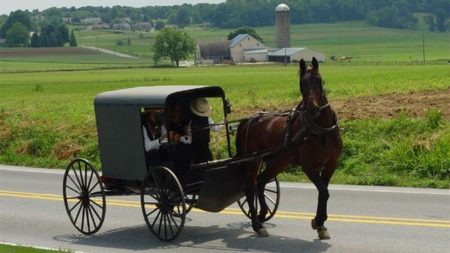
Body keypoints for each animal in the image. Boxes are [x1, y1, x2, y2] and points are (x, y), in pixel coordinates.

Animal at [236, 57, 342, 239]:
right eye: (302, 83)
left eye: (319, 80)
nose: (312, 108)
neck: (321, 129)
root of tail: (249, 120)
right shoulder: (308, 166)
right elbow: (323, 191)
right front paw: (318, 221)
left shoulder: (330, 164)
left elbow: (324, 192)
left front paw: (321, 225)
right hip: (253, 160)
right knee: (250, 188)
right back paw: (257, 224)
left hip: (278, 161)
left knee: (260, 182)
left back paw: (262, 214)